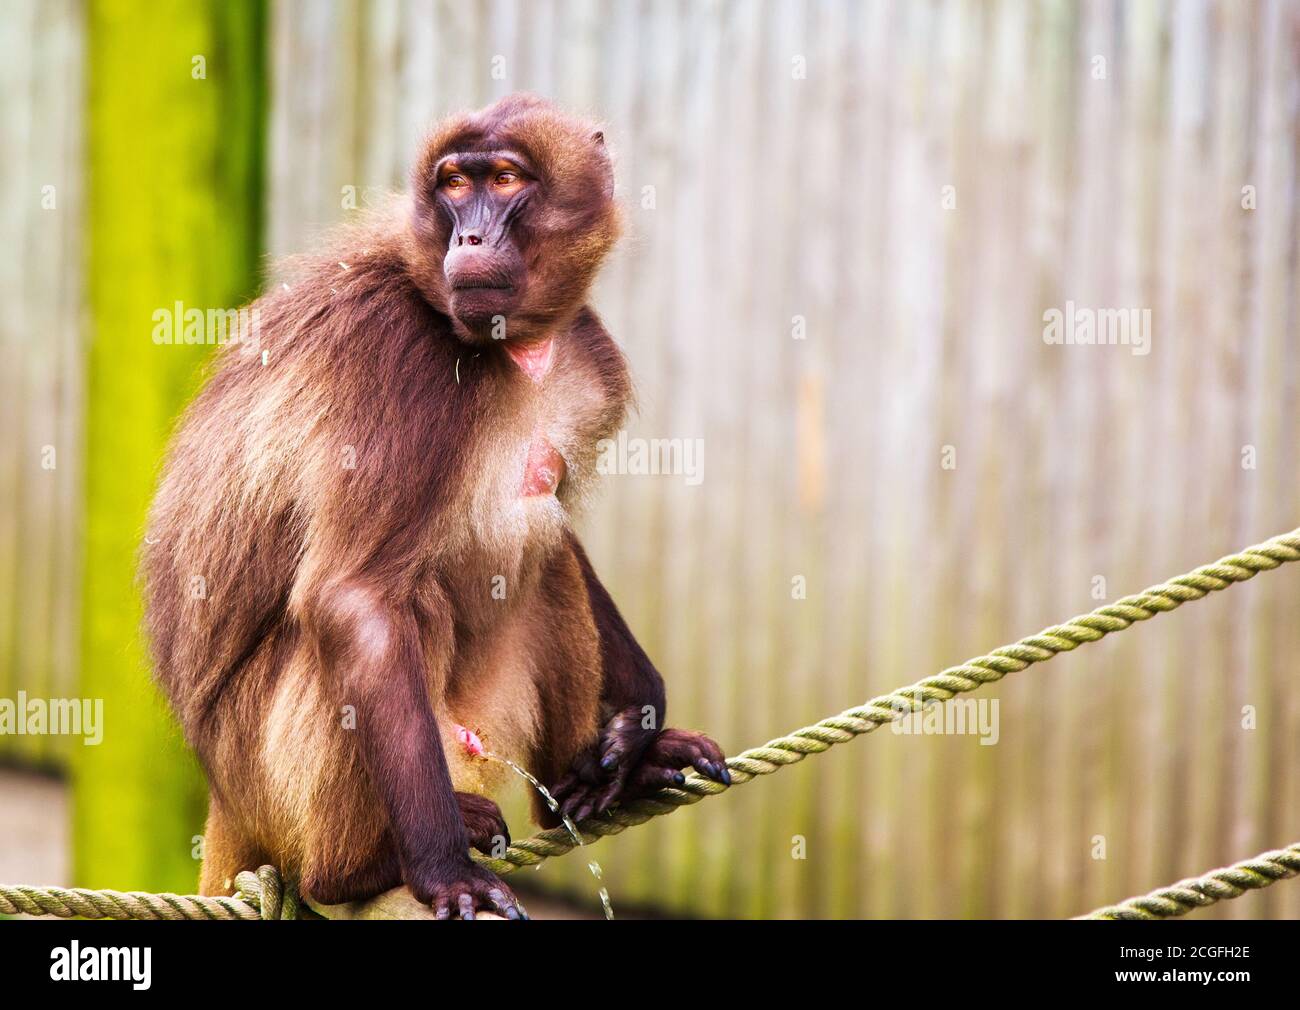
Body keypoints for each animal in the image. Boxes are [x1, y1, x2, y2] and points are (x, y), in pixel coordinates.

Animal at [142, 93, 729, 920]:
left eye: (505, 178)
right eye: (454, 184)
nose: (471, 236)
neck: (509, 348)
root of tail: (224, 794)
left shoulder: (587, 354)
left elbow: (557, 523)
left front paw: (638, 716)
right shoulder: (397, 362)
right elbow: (353, 601)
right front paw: (442, 868)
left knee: (543, 561)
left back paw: (584, 787)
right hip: (284, 771)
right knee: (388, 613)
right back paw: (358, 869)